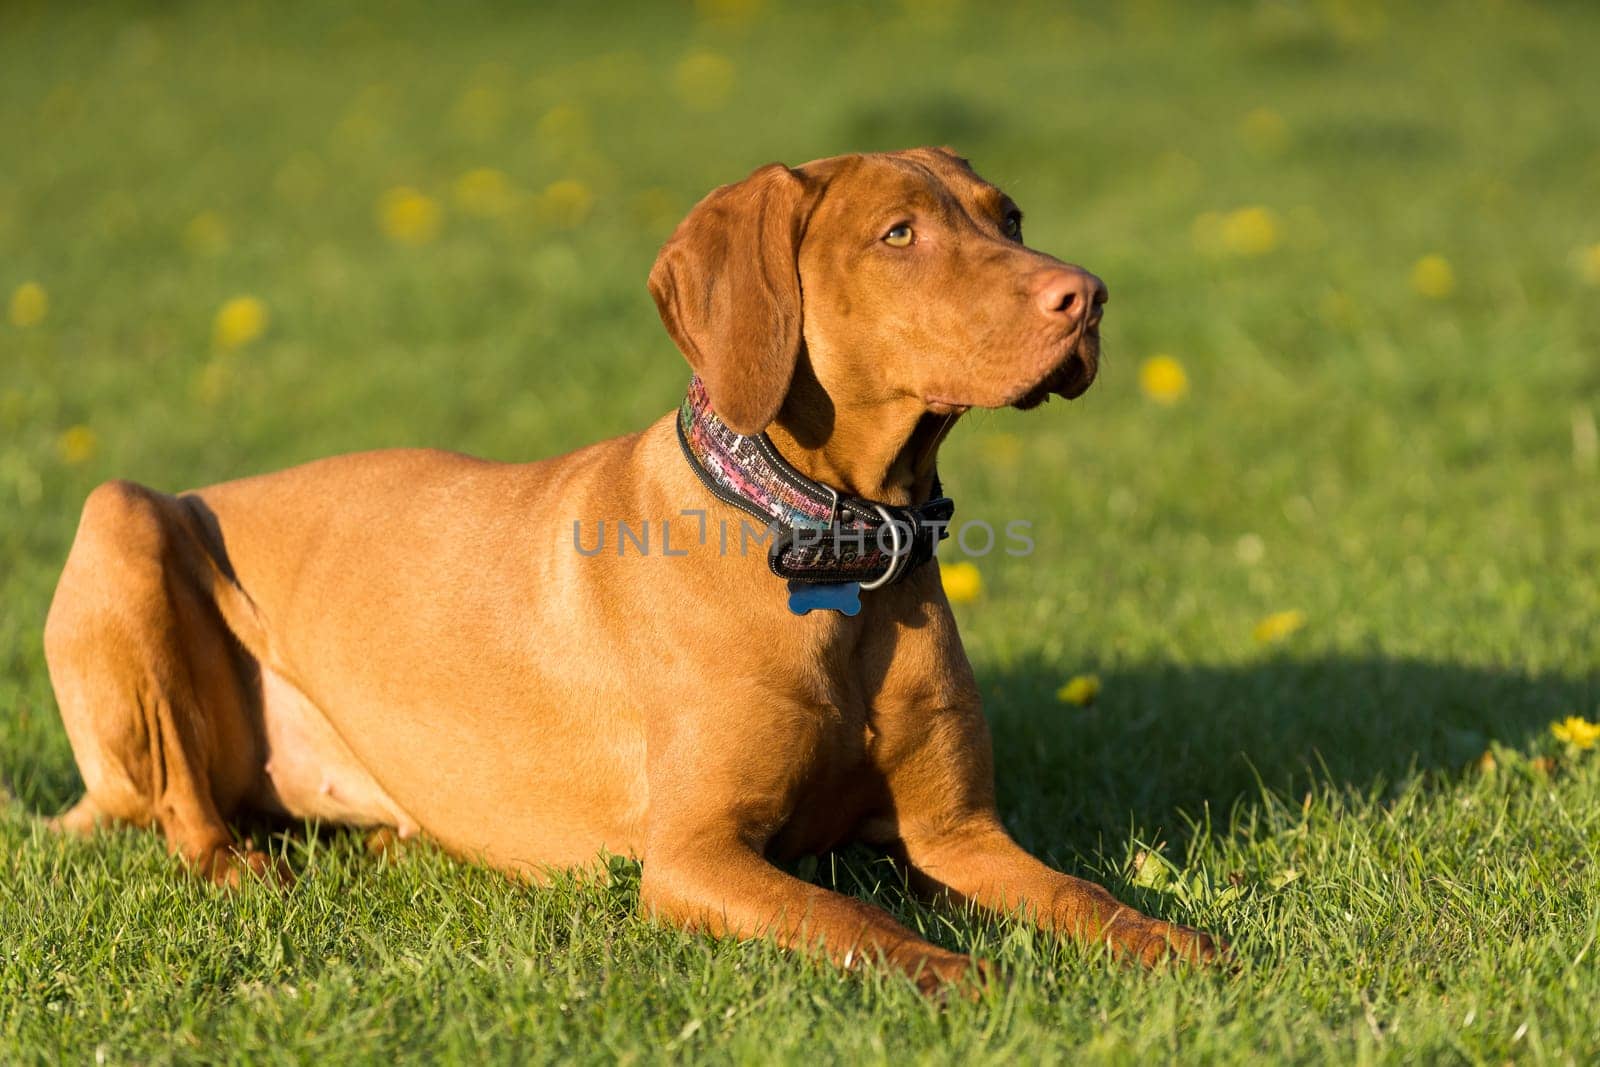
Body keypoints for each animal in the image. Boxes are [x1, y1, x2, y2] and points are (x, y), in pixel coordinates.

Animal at [43, 146, 1222, 991]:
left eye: (1007, 216)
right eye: (900, 233)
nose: (1089, 296)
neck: (835, 542)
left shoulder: (959, 833)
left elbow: (1082, 897)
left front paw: (1178, 944)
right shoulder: (697, 856)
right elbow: (853, 915)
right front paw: (958, 972)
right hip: (125, 517)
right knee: (186, 809)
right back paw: (248, 869)